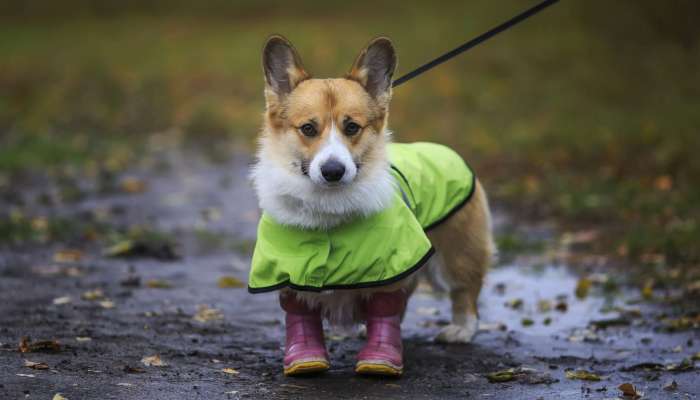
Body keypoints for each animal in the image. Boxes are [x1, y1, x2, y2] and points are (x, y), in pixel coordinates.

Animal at [249, 36, 494, 376]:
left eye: (352, 127)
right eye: (308, 129)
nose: (333, 171)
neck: (328, 208)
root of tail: (444, 149)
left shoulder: (393, 264)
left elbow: (385, 309)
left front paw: (380, 357)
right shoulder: (290, 272)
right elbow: (301, 316)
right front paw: (305, 358)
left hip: (457, 251)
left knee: (466, 290)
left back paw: (461, 329)